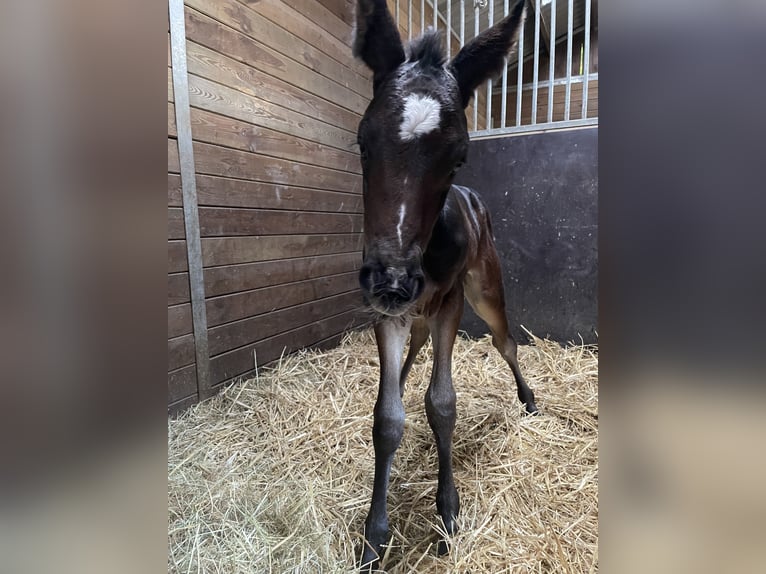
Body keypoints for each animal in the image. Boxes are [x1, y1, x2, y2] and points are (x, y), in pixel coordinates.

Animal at [352, 0, 536, 568]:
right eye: (363, 142)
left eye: (458, 156)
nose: (392, 279)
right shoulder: (384, 309)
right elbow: (387, 417)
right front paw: (375, 535)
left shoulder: (451, 303)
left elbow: (442, 404)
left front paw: (448, 511)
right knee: (416, 343)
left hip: (484, 289)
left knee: (505, 341)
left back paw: (529, 399)